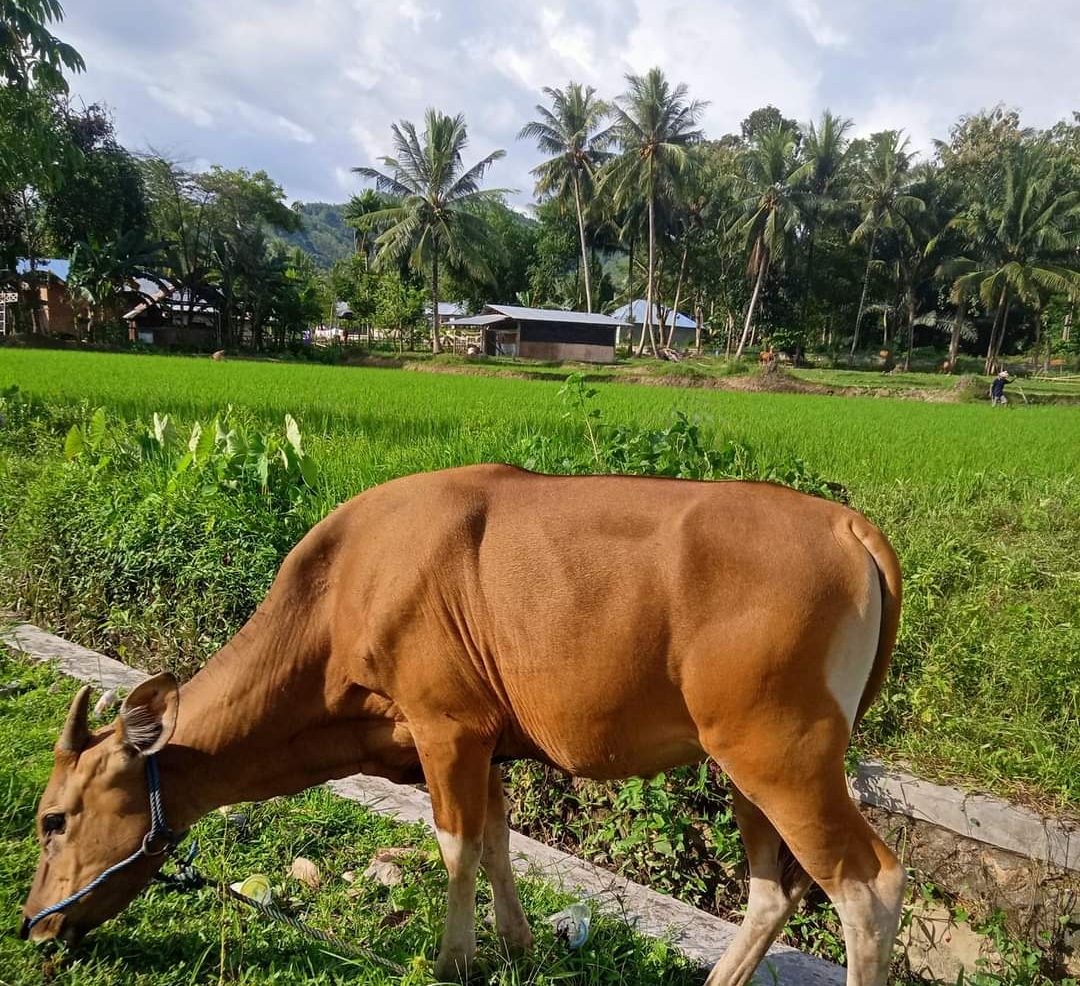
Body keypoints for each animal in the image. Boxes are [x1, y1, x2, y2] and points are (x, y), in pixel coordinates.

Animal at [23, 466, 902, 984]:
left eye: (52, 819)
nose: (35, 927)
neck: (342, 590)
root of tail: (844, 524)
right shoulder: (487, 743)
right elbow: (500, 839)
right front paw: (515, 945)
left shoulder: (446, 728)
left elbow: (456, 847)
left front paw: (453, 960)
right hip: (748, 760)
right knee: (775, 888)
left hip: (782, 753)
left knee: (868, 884)